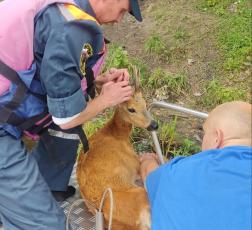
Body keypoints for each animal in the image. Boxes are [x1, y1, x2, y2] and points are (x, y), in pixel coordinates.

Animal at [77, 67, 158, 229]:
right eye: (131, 109)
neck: (117, 135)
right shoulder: (135, 164)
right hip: (141, 195)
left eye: (145, 104)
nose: (154, 125)